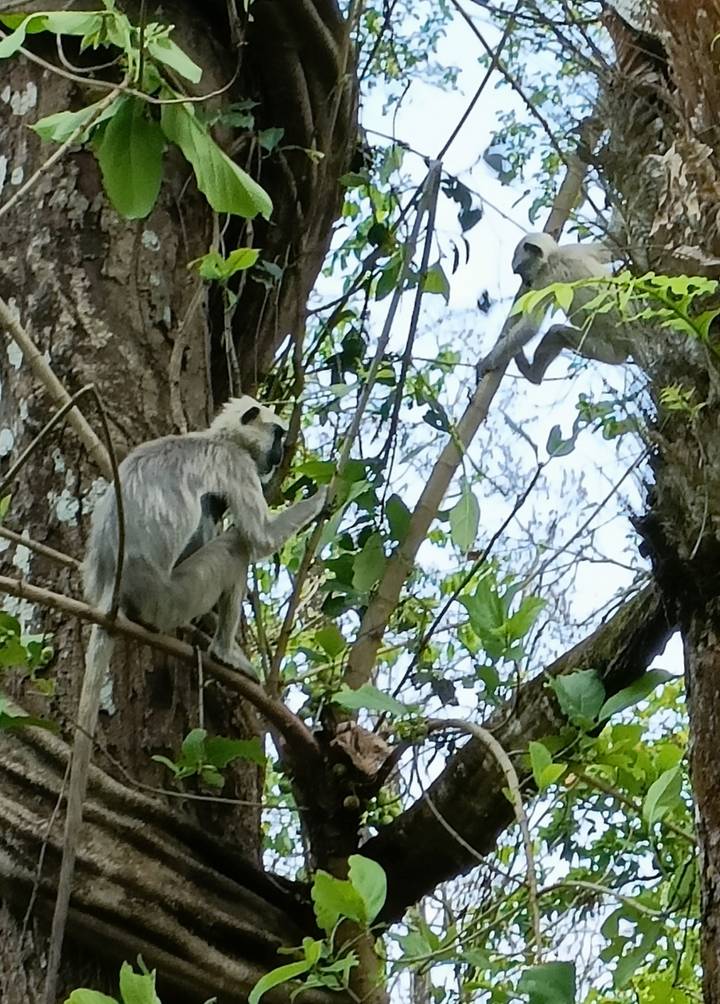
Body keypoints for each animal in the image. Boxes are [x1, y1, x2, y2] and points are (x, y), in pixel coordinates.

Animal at [43, 395, 327, 1003]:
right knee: (233, 541)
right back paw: (221, 649)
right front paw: (330, 491)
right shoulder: (235, 467)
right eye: (276, 437)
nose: (279, 455)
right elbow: (260, 538)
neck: (212, 438)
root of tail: (111, 590)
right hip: (172, 594)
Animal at [478, 232, 632, 384]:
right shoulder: (575, 248)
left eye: (521, 272)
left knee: (556, 331)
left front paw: (486, 363)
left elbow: (530, 327)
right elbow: (612, 248)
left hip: (604, 350)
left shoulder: (545, 279)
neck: (554, 255)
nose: (526, 283)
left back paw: (532, 375)